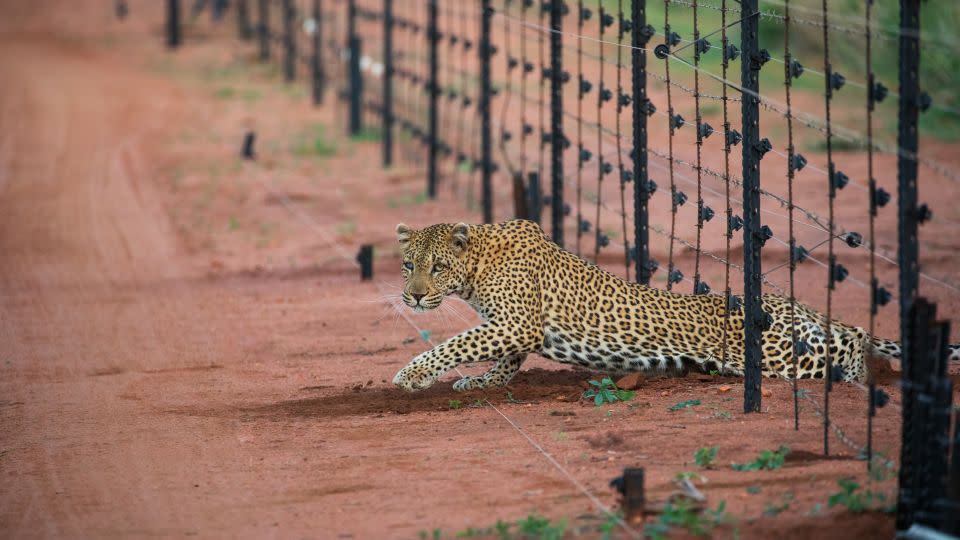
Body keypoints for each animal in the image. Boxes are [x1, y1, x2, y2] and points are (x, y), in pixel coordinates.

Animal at [390, 219, 960, 392]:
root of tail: (792, 302)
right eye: (408, 264)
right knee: (851, 336)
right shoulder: (511, 327)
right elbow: (498, 358)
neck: (476, 264)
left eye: (435, 267)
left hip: (783, 356)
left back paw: (869, 377)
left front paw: (410, 376)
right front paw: (480, 382)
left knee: (852, 342)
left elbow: (456, 342)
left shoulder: (516, 323)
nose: (412, 294)